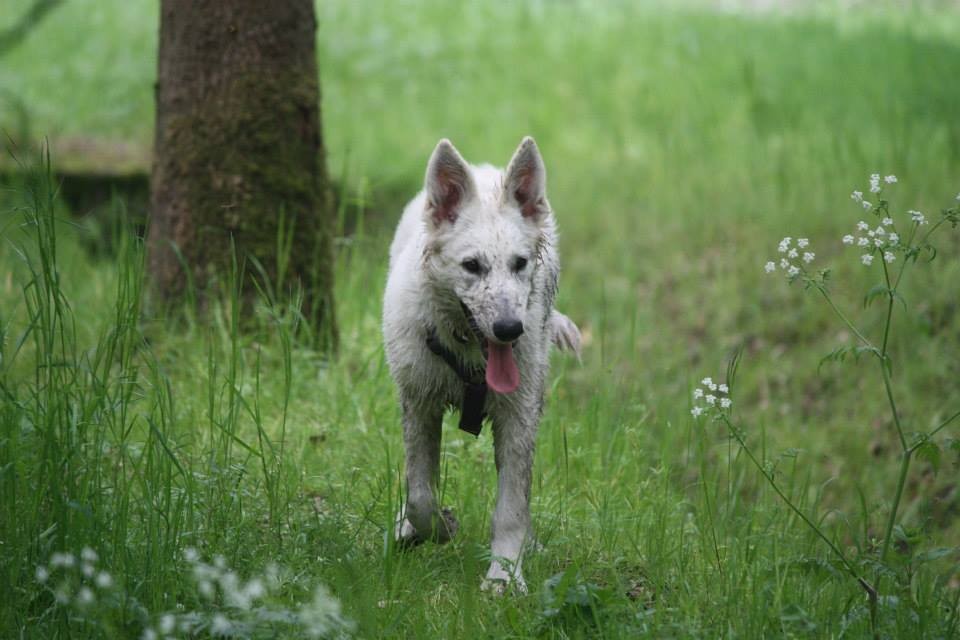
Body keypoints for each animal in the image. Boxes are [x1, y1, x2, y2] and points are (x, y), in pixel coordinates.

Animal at [382, 137, 580, 592]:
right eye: (472, 266)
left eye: (519, 263)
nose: (510, 329)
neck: (468, 354)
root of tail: (485, 169)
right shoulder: (419, 404)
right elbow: (420, 495)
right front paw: (435, 528)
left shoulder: (519, 416)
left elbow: (512, 506)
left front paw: (504, 577)